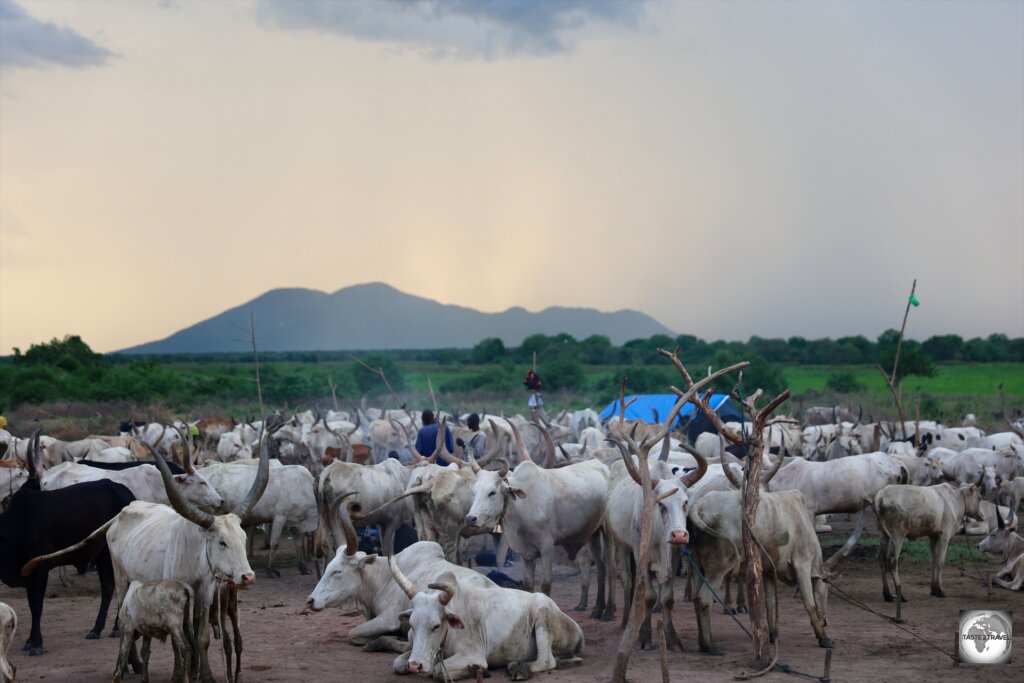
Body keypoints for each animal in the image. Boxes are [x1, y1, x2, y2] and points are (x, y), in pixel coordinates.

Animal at [0, 438, 134, 655]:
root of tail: (127, 493)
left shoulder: (39, 569)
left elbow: (36, 606)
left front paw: (36, 643)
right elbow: (31, 604)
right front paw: (29, 641)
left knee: (123, 586)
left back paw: (114, 627)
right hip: (103, 554)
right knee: (108, 587)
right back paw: (97, 629)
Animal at [389, 557, 585, 679]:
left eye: (436, 626)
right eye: (412, 624)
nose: (416, 665)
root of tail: (577, 629)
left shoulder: (472, 655)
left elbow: (438, 670)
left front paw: (476, 671)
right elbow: (397, 663)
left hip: (541, 613)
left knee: (547, 660)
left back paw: (519, 669)